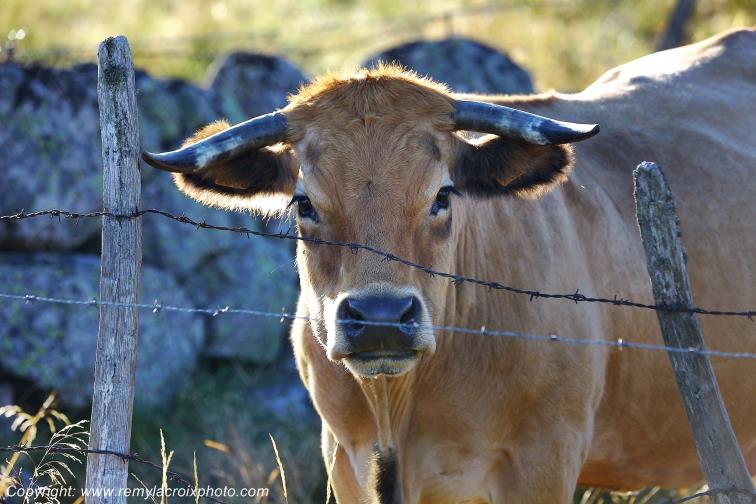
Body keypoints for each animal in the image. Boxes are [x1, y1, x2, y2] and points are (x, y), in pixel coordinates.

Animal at [142, 29, 756, 503]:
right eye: (304, 203)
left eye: (443, 195)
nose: (382, 319)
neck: (399, 414)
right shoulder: (343, 459)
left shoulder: (543, 461)